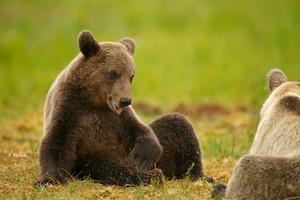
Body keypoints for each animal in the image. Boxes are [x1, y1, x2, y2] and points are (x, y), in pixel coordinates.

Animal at [36, 30, 211, 187]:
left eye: (131, 76)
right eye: (113, 73)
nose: (125, 100)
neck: (94, 100)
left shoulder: (119, 118)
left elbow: (144, 133)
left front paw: (140, 158)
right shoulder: (70, 109)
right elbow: (56, 143)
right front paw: (49, 180)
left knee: (178, 124)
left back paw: (199, 177)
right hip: (94, 157)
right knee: (114, 168)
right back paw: (151, 176)